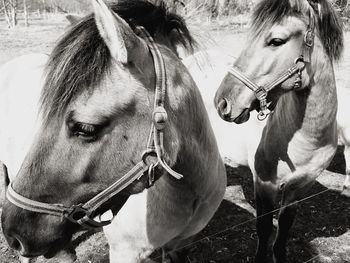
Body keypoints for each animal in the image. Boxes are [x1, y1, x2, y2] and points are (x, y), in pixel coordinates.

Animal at [212, 1, 344, 262]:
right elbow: (264, 228)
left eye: (276, 41)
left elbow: (284, 227)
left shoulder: (299, 187)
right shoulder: (265, 184)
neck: (306, 140)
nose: (222, 102)